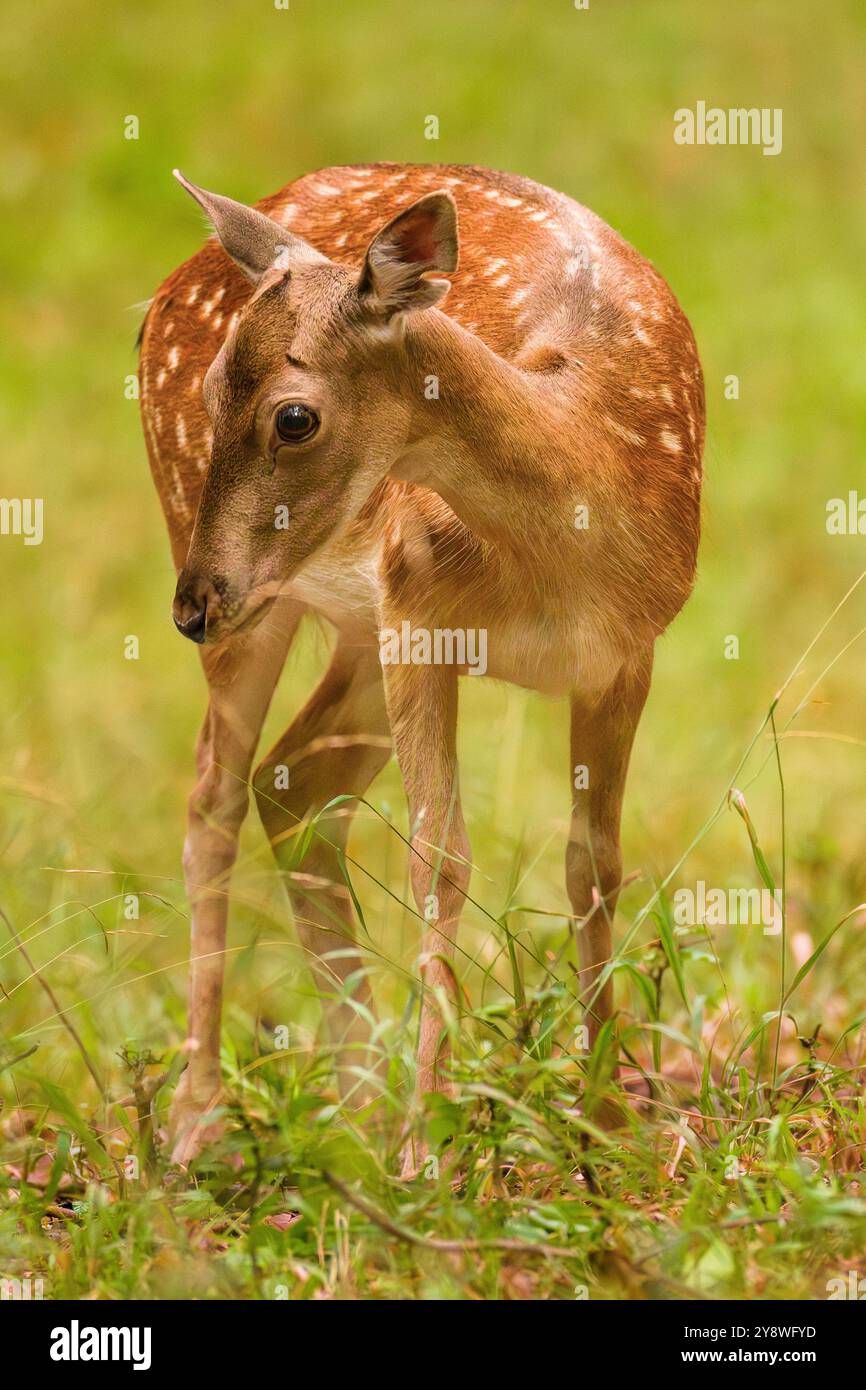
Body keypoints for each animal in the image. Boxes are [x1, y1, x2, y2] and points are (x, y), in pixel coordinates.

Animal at [138, 162, 704, 1169]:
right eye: (206, 396)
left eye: (293, 417)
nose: (188, 607)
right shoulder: (418, 611)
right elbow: (439, 861)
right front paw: (427, 1150)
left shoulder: (624, 655)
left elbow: (593, 862)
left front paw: (604, 1123)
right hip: (268, 591)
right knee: (215, 797)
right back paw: (200, 1121)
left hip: (350, 624)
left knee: (295, 785)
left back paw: (359, 1099)